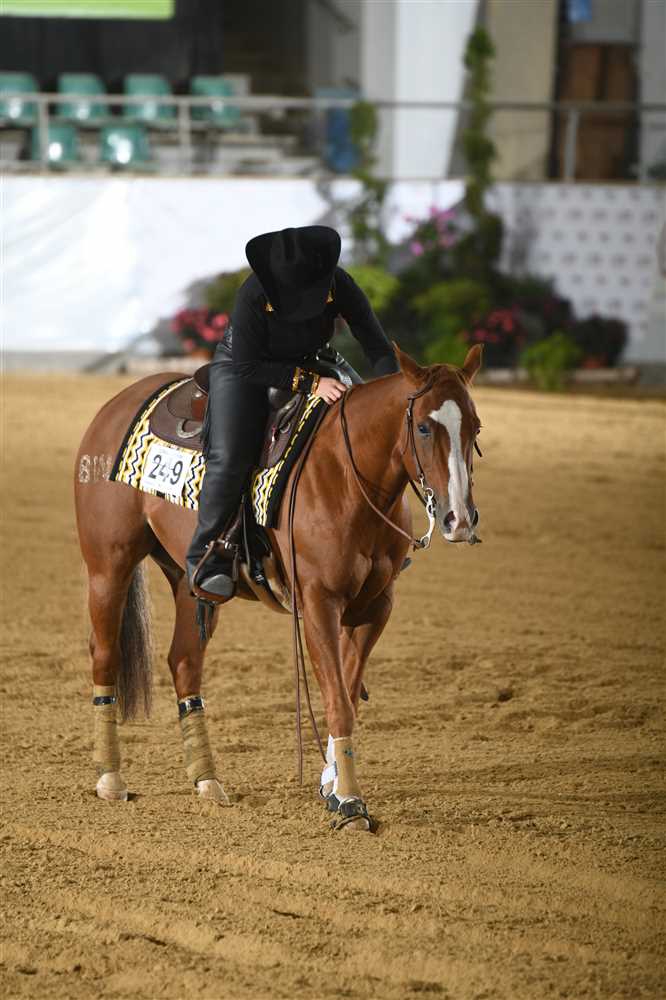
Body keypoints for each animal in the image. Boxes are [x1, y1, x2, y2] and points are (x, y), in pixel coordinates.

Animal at [74, 344, 483, 832]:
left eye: (475, 426)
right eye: (422, 426)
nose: (459, 519)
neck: (346, 475)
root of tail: (116, 404)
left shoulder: (375, 607)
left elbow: (348, 692)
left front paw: (332, 786)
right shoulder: (319, 602)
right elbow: (337, 700)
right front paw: (351, 803)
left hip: (189, 581)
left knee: (184, 663)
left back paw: (207, 781)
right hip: (108, 565)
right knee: (105, 655)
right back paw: (110, 778)